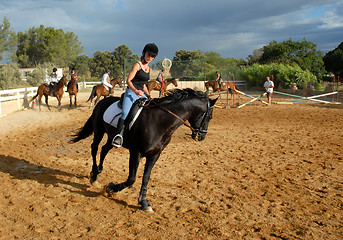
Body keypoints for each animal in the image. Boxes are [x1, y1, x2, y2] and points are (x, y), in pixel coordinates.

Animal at [71, 88, 219, 212]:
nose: (202, 137)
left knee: (104, 149)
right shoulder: (135, 152)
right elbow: (131, 179)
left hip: (111, 136)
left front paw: (143, 202)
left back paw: (98, 170)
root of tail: (102, 101)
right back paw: (94, 174)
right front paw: (112, 187)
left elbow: (146, 178)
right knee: (94, 148)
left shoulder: (154, 155)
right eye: (210, 117)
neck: (160, 122)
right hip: (99, 130)